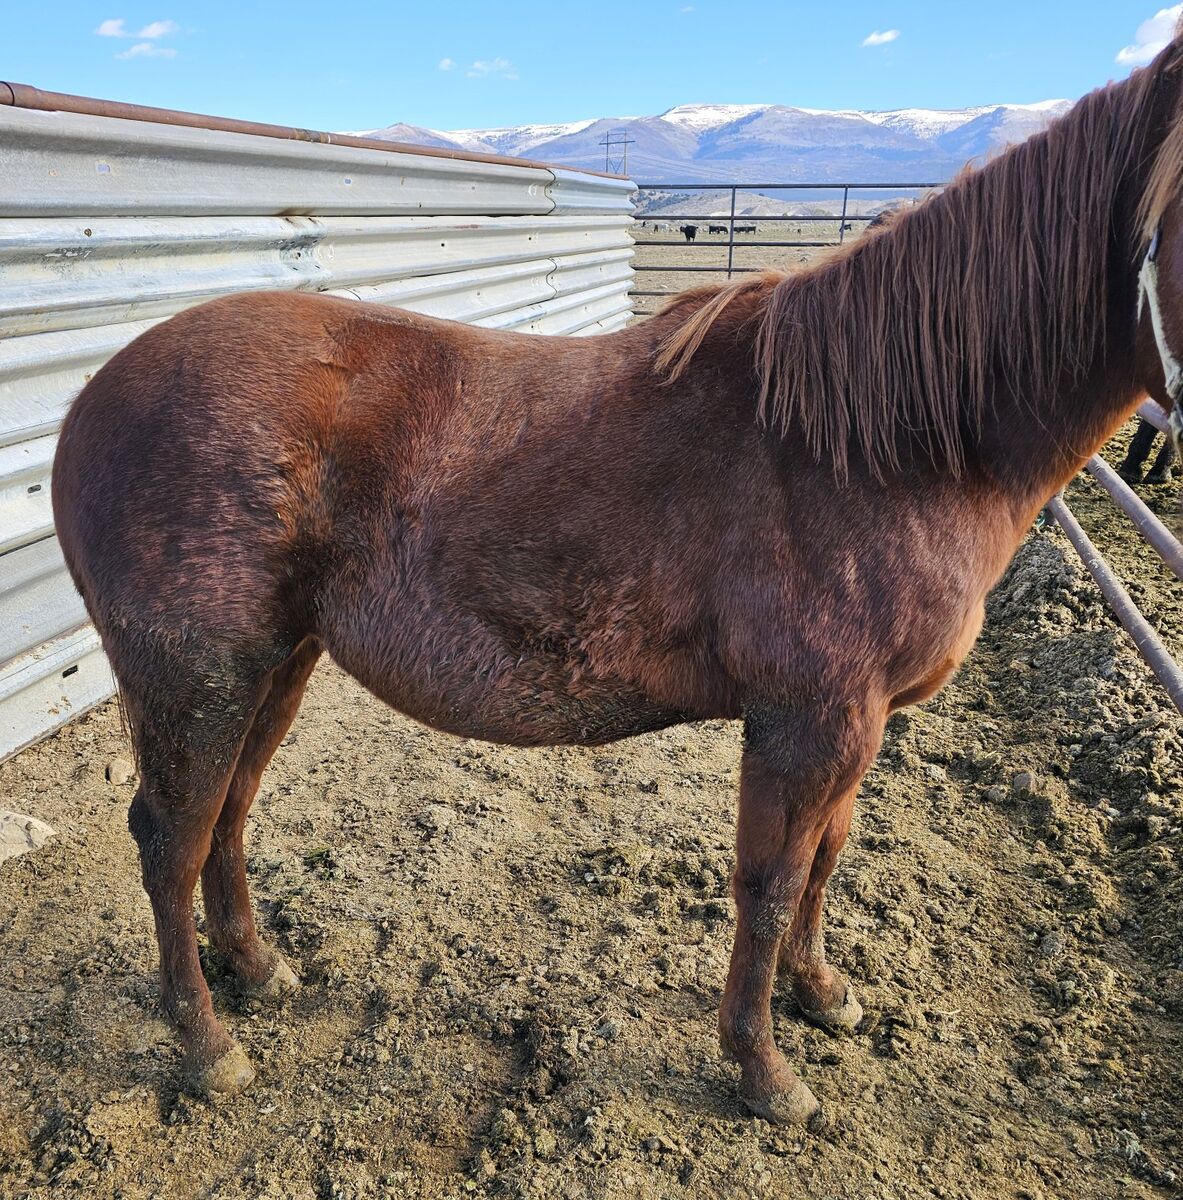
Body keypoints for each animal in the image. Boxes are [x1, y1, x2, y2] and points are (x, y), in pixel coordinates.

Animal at [51, 33, 1183, 1127]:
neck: (881, 443)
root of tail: (93, 399)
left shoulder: (861, 724)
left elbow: (828, 854)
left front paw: (821, 994)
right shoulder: (809, 721)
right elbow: (770, 881)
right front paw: (762, 1068)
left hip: (277, 662)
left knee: (228, 815)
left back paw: (256, 969)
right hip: (199, 678)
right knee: (171, 836)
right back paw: (207, 1048)